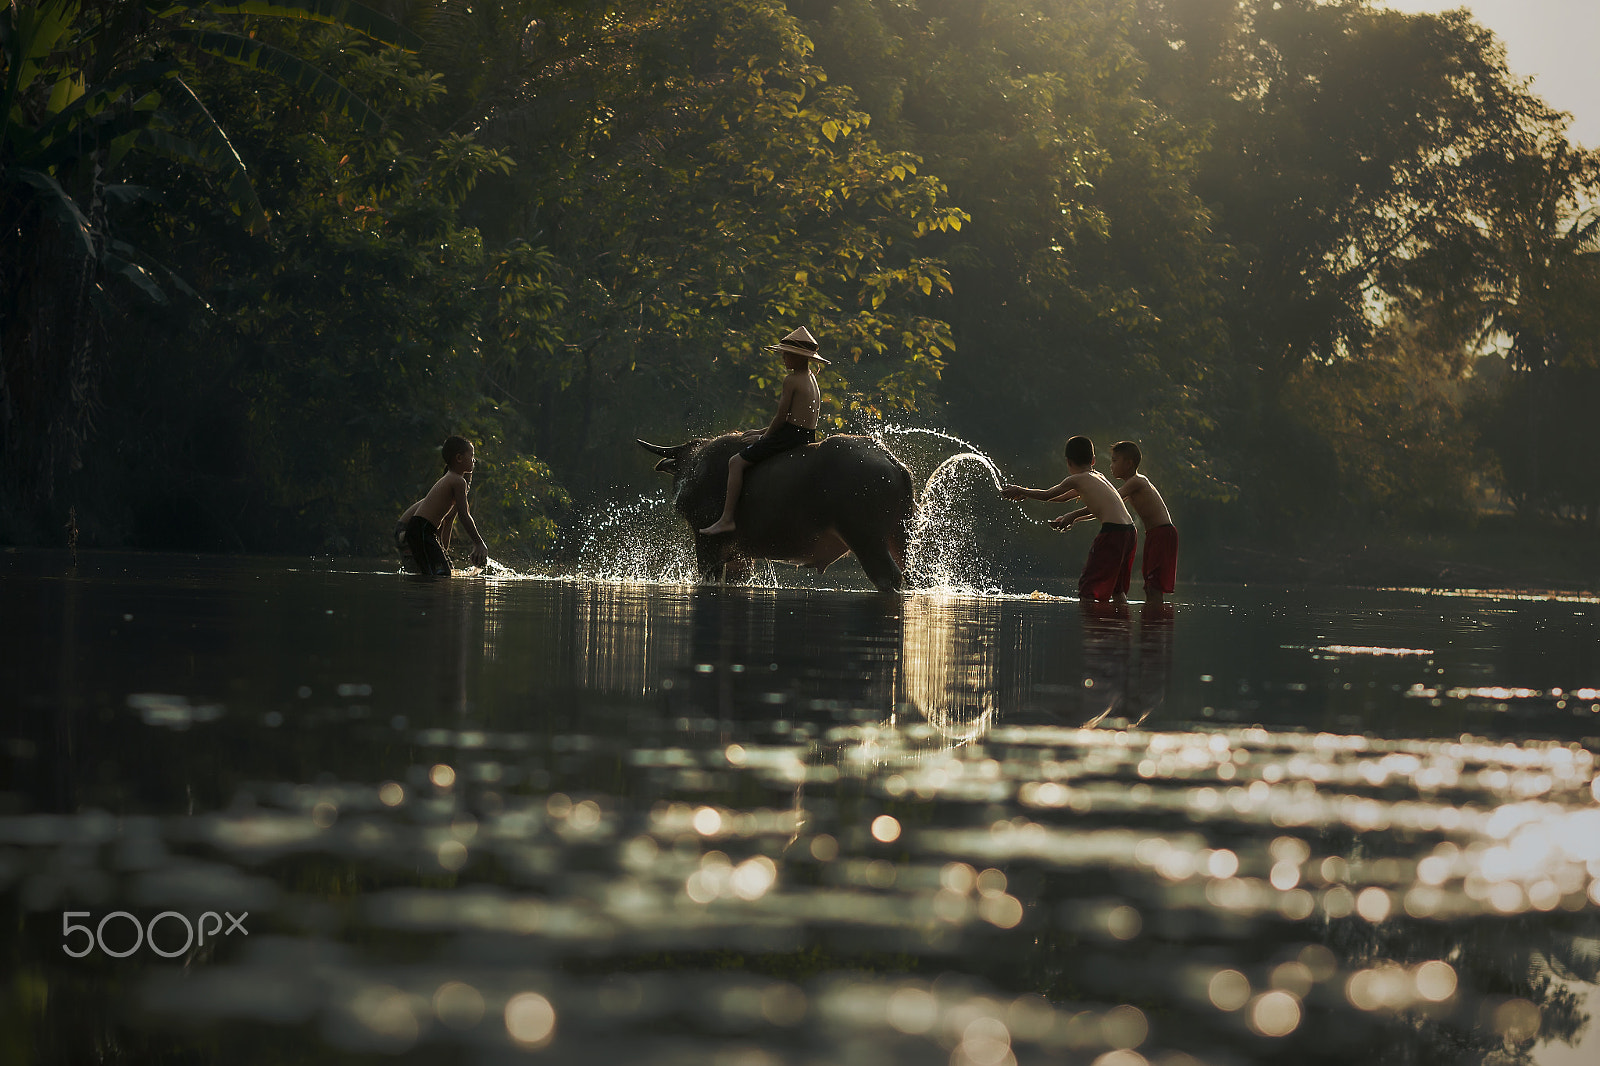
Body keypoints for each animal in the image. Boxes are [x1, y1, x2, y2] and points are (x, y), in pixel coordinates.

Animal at [633, 428, 921, 589]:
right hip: (901, 537)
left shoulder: (707, 543)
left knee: (887, 577)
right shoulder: (739, 556)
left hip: (866, 539)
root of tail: (891, 461)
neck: (698, 470)